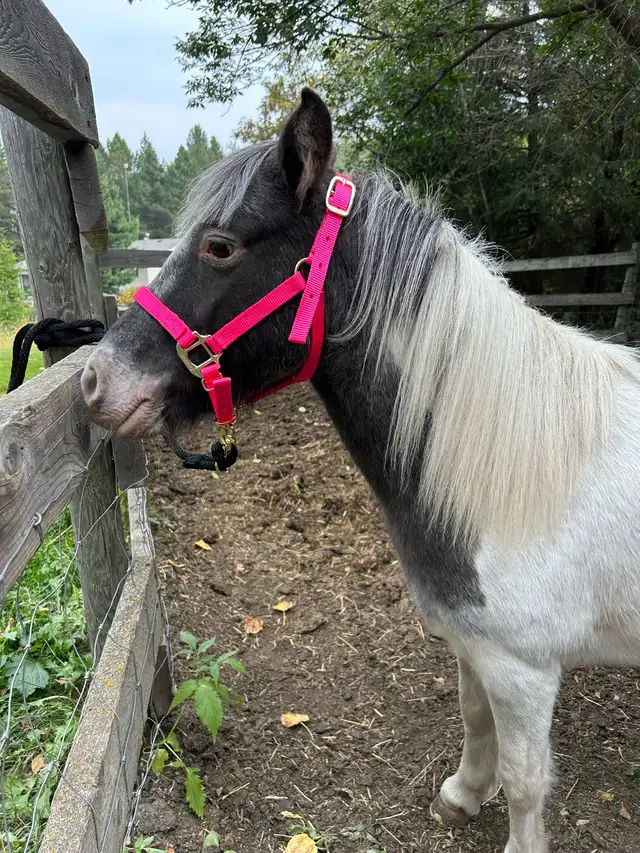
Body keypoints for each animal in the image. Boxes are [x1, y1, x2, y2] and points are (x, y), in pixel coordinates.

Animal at [81, 89, 640, 853]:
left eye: (219, 246)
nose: (93, 381)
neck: (520, 470)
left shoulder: (526, 670)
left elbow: (527, 783)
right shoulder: (475, 646)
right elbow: (474, 720)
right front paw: (463, 794)